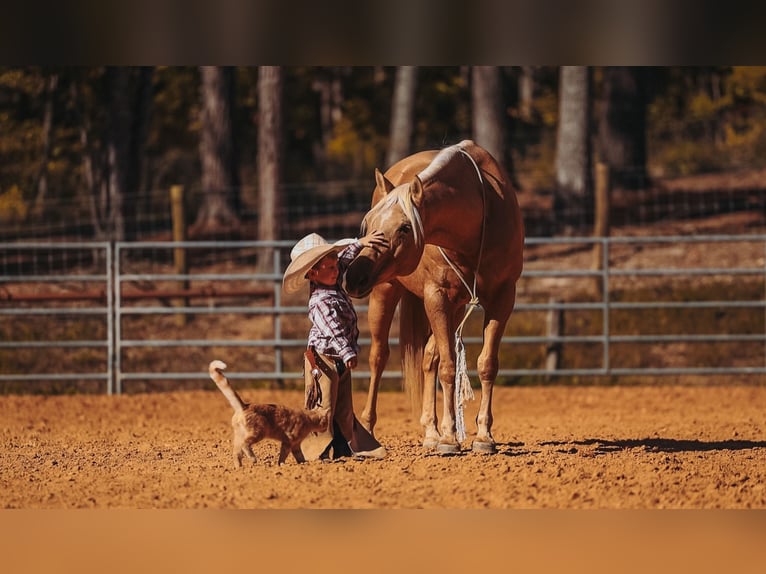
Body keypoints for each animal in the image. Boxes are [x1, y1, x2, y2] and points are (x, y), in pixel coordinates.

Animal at [346, 140, 524, 454]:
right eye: (369, 225)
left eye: (405, 227)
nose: (353, 277)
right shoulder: (436, 297)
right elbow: (449, 366)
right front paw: (451, 437)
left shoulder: (502, 298)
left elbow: (486, 364)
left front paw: (483, 436)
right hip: (386, 291)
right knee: (379, 357)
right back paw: (367, 434)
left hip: (454, 308)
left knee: (429, 357)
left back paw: (431, 431)